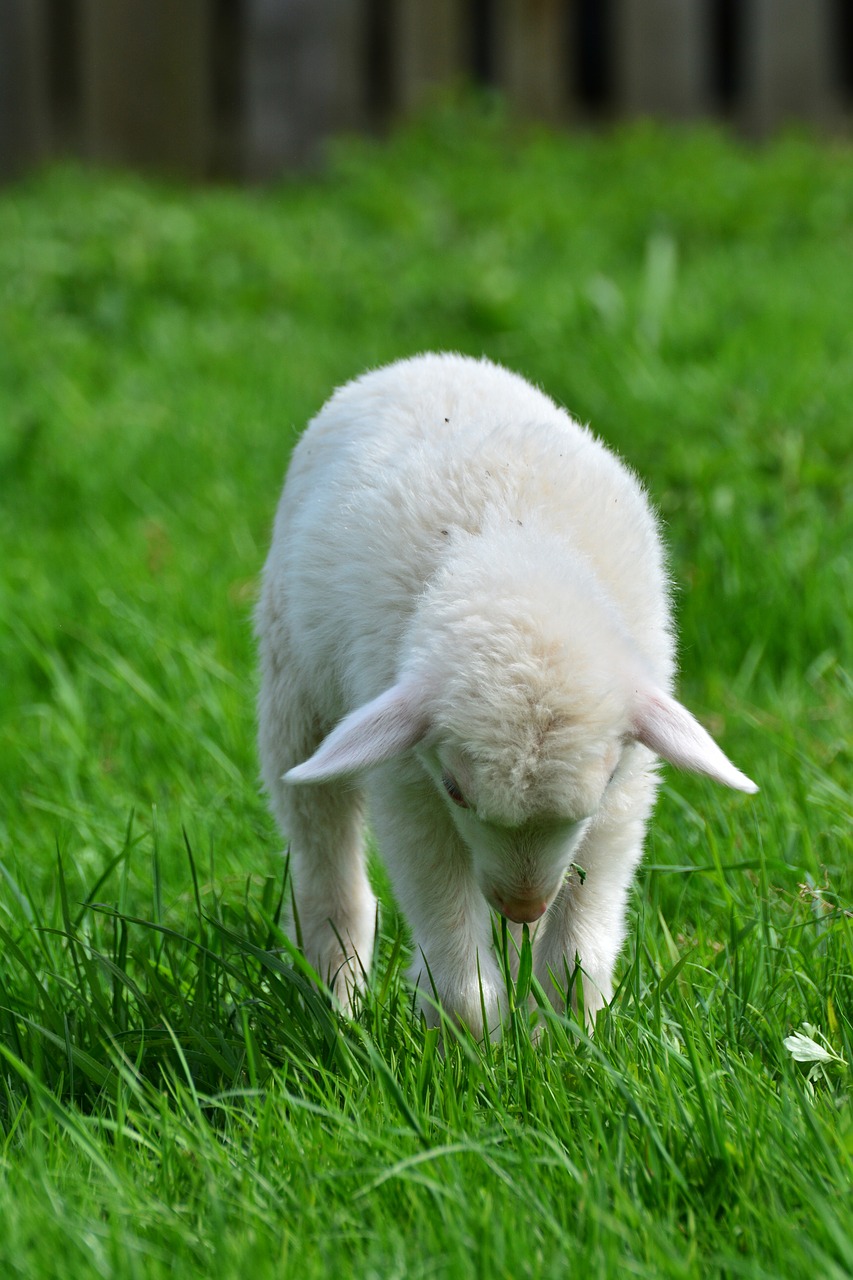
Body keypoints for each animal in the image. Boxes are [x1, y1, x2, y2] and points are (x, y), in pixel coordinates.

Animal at [251, 353, 753, 1039]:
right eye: (456, 790)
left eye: (597, 791)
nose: (522, 903)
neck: (517, 559)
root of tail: (425, 361)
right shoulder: (410, 785)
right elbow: (447, 931)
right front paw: (470, 1039)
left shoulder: (626, 789)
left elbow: (579, 941)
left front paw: (567, 1035)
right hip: (295, 689)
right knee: (324, 858)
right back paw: (339, 1001)